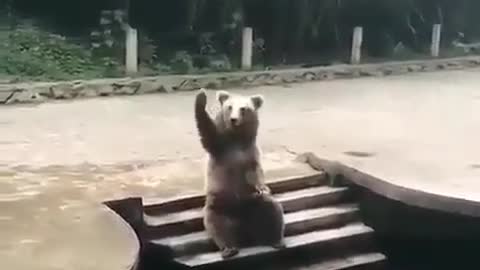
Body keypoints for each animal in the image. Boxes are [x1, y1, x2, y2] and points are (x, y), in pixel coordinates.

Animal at [194, 88, 284, 260]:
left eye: (244, 108)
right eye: (229, 107)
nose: (234, 119)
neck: (236, 139)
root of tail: (244, 227)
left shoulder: (250, 153)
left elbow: (255, 171)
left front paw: (262, 187)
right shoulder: (220, 148)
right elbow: (207, 130)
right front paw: (201, 97)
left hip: (254, 203)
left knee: (272, 210)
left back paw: (276, 240)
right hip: (220, 205)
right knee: (217, 226)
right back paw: (229, 249)